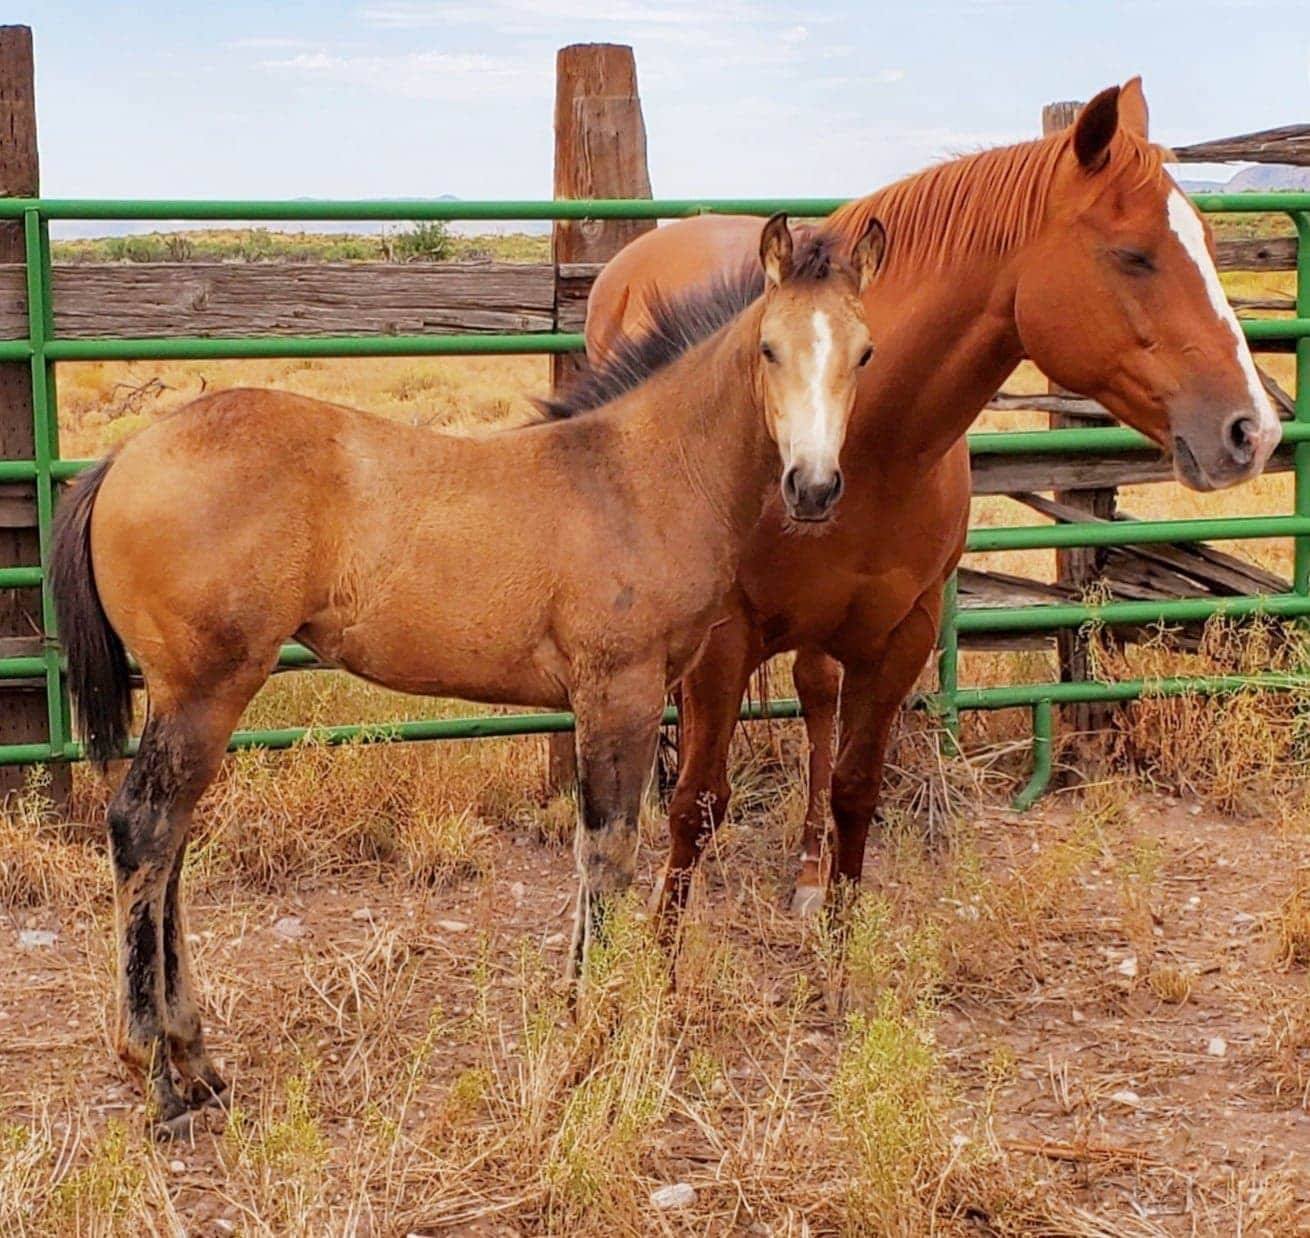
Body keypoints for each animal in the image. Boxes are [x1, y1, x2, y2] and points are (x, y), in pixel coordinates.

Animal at [49, 214, 885, 1137]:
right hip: (204, 690)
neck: (640, 477)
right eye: (770, 348)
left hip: (196, 699)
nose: (814, 488)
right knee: (144, 829)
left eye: (864, 352)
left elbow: (600, 850)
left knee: (172, 844)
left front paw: (583, 1007)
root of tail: (124, 457)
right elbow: (609, 851)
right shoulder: (619, 694)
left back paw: (196, 1062)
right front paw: (592, 1030)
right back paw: (158, 1076)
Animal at [582, 79, 1281, 925]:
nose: (1252, 430)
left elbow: (855, 786)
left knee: (817, 697)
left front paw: (841, 931)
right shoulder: (724, 634)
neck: (867, 445)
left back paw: (806, 871)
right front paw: (658, 945)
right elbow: (699, 803)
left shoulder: (902, 632)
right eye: (1134, 255)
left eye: (1209, 242)